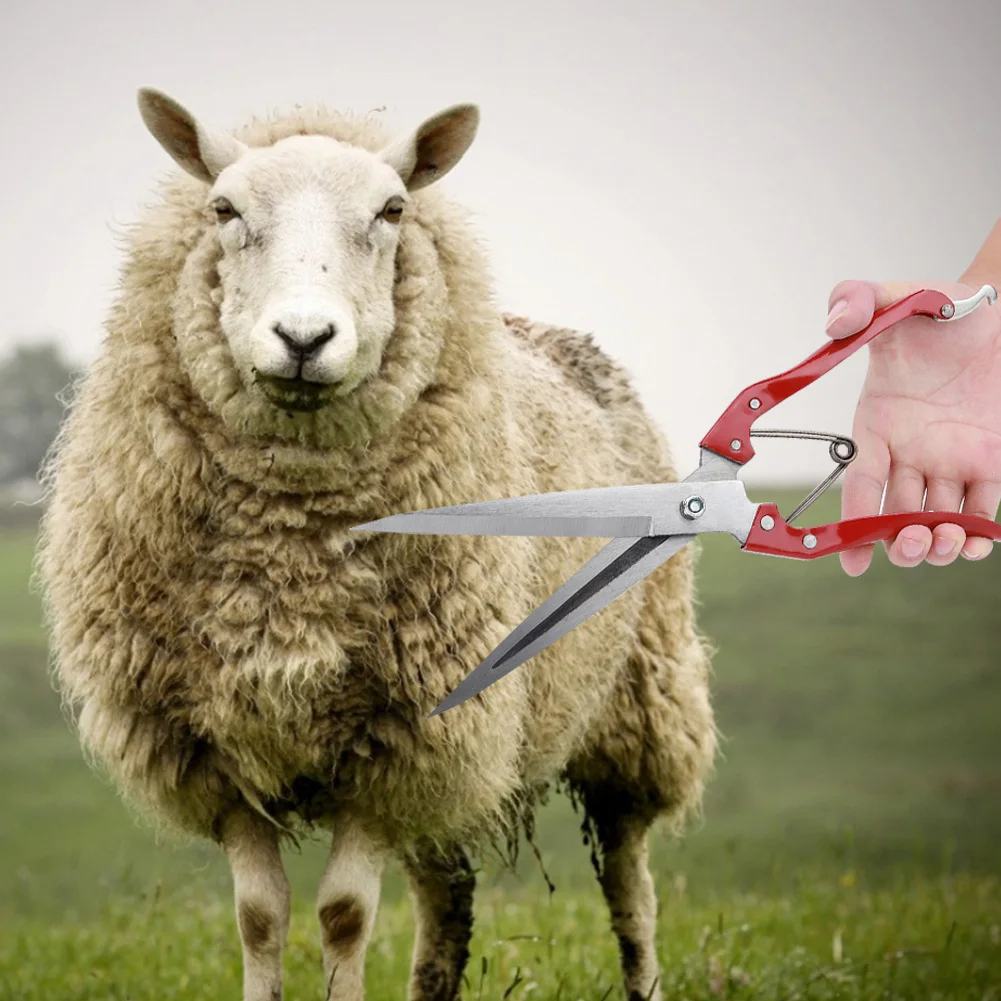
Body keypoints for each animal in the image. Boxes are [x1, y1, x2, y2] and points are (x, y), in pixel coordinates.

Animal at [34, 86, 717, 1001]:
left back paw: (643, 971)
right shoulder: (216, 741)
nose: (303, 338)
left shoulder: (395, 736)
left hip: (635, 700)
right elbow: (259, 916)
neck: (289, 546)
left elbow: (344, 914)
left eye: (392, 210)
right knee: (446, 892)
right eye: (223, 209)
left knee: (627, 877)